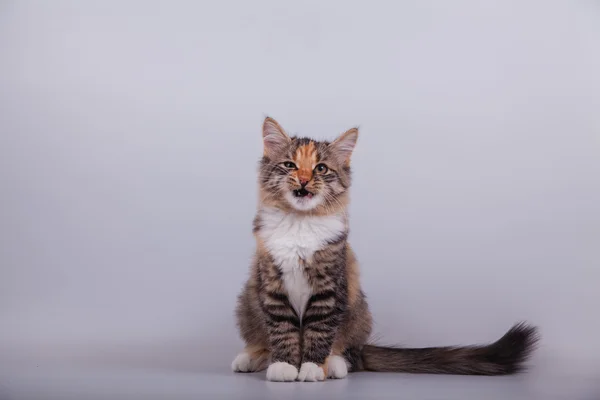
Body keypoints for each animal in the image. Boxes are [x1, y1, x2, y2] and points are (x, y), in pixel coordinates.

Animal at [231, 117, 540, 382]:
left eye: (321, 168)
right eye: (290, 165)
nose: (305, 180)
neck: (300, 223)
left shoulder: (330, 288)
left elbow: (319, 331)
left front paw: (310, 368)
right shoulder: (272, 284)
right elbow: (282, 330)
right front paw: (285, 366)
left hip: (358, 309)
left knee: (349, 352)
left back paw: (335, 364)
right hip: (248, 297)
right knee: (262, 340)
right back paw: (251, 358)